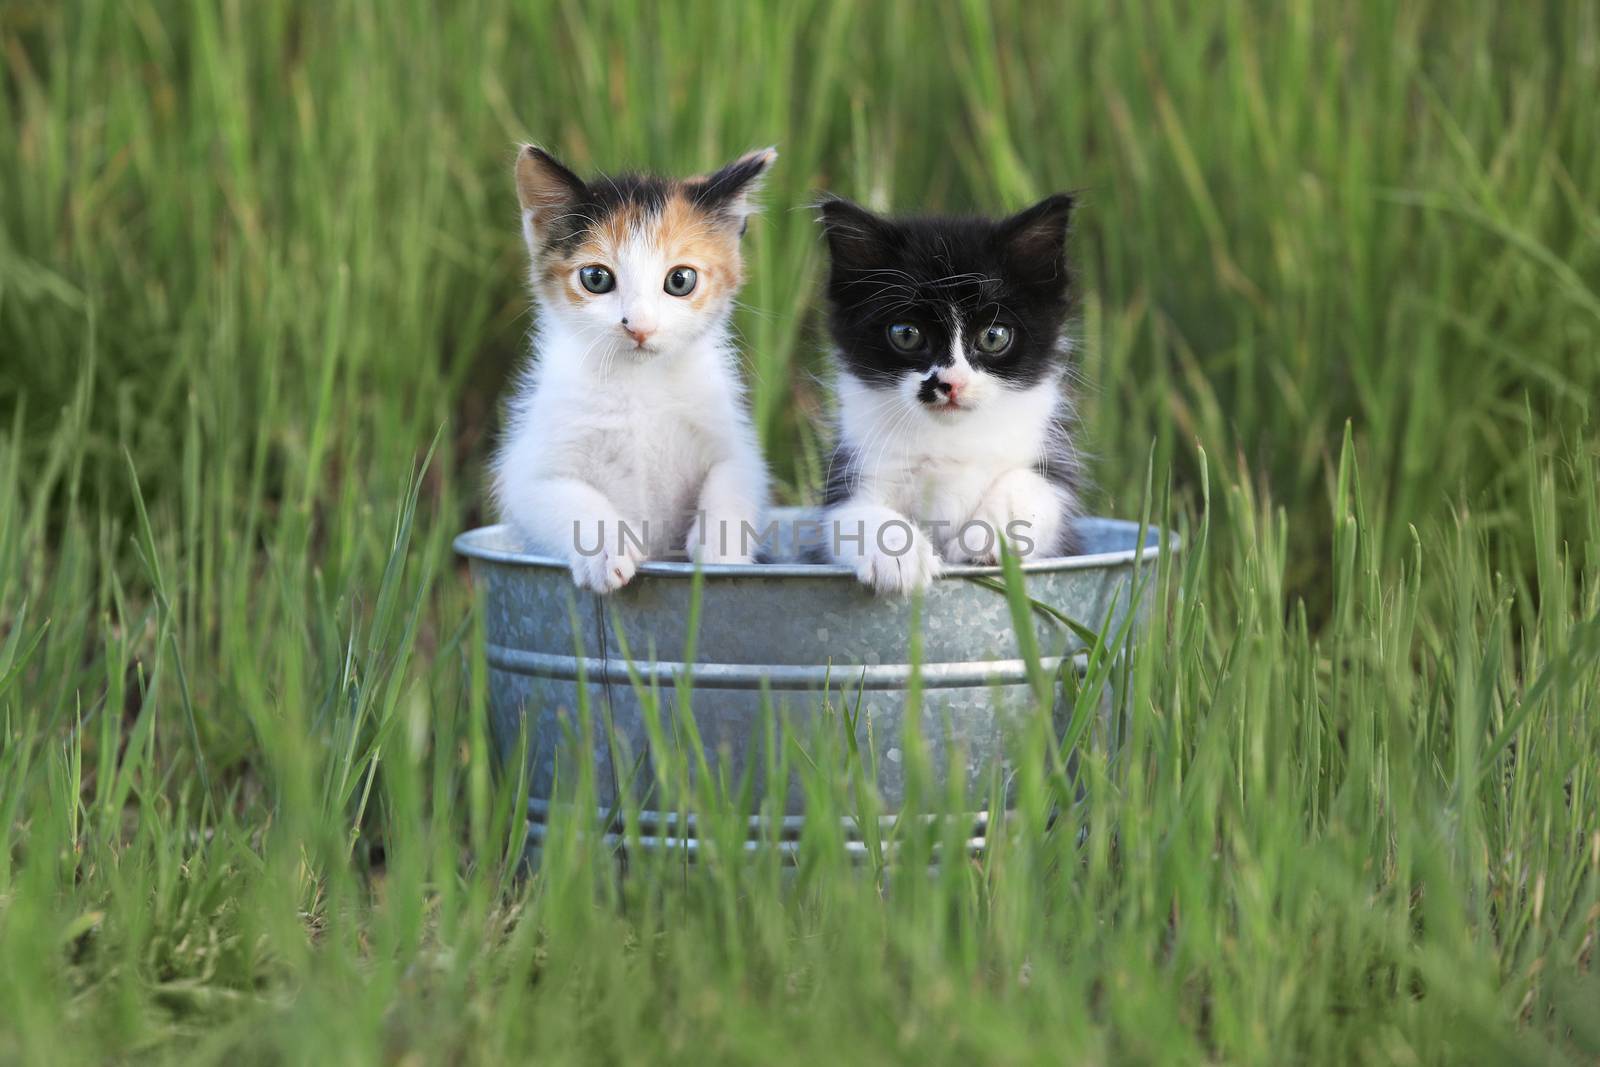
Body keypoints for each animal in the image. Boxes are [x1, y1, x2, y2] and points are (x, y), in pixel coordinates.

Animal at [496, 143, 777, 591]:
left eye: (680, 280)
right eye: (596, 278)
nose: (640, 327)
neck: (639, 382)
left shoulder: (731, 441)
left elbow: (734, 478)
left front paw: (721, 551)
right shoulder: (528, 470)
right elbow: (563, 495)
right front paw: (606, 549)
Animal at [819, 191, 1081, 591]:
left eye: (993, 336)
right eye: (906, 334)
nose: (950, 383)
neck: (950, 439)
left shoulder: (1047, 465)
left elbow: (1034, 486)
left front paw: (991, 534)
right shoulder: (853, 468)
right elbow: (850, 514)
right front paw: (897, 554)